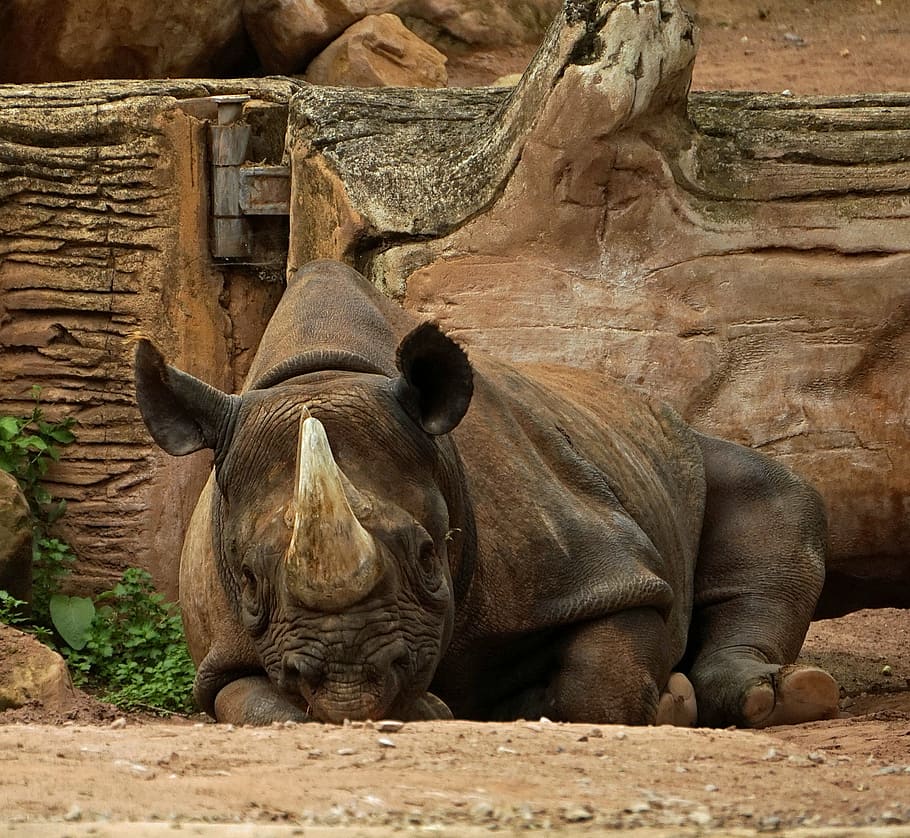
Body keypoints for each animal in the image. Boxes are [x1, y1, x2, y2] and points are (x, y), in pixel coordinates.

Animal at [134, 260, 839, 727]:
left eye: (429, 557)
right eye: (250, 582)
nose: (351, 683)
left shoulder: (603, 568)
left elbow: (603, 679)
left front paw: (659, 704)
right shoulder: (223, 653)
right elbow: (259, 706)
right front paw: (431, 707)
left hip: (677, 446)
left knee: (772, 492)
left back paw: (773, 698)